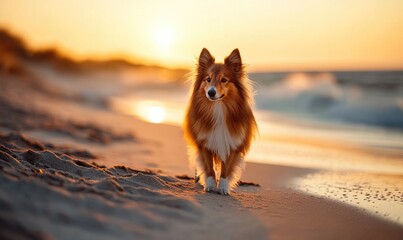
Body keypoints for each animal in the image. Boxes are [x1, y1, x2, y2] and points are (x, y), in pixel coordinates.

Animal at [184, 47, 258, 195]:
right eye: (208, 79)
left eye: (224, 80)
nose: (211, 92)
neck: (219, 109)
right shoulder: (205, 143)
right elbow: (209, 168)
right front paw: (210, 186)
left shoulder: (231, 144)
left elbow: (226, 169)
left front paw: (223, 188)